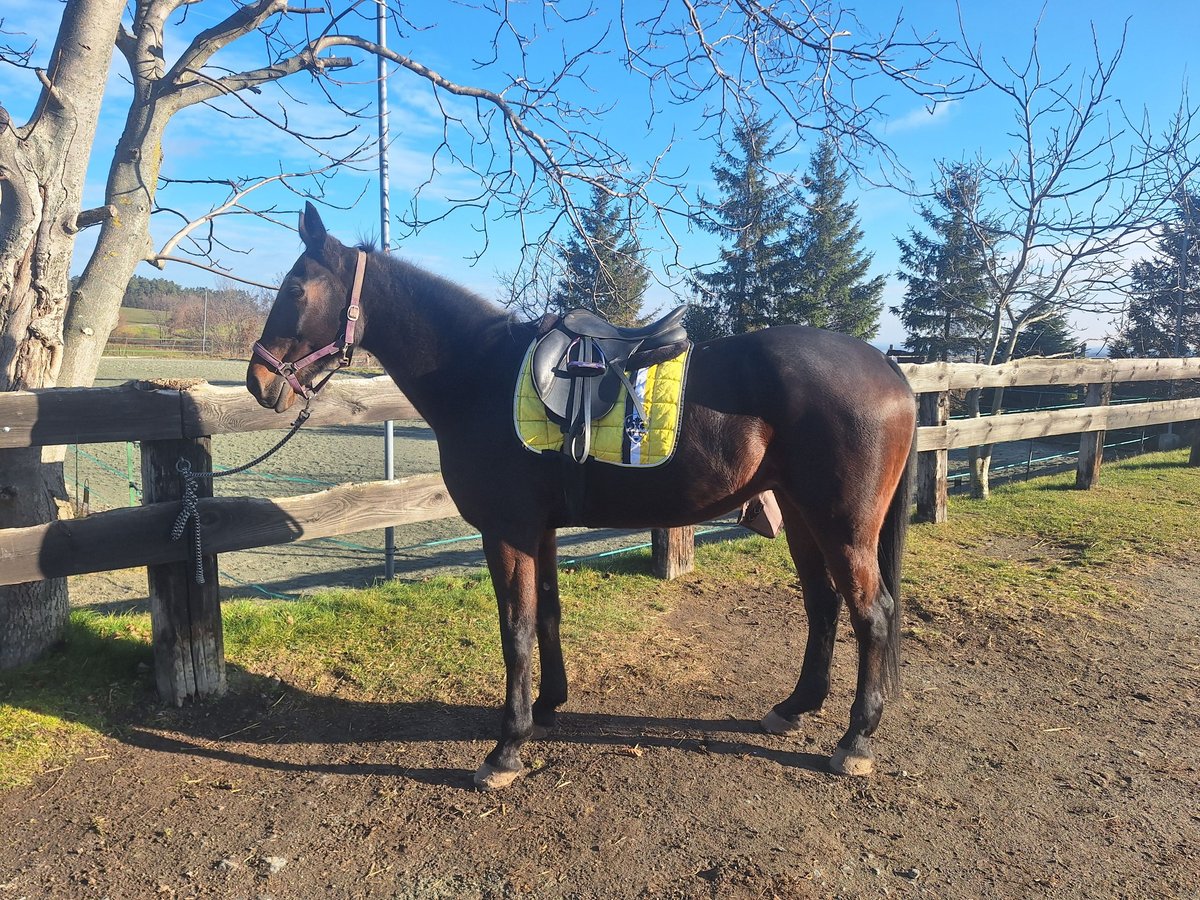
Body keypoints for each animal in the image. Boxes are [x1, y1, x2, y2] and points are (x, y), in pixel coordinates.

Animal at [246, 204, 916, 787]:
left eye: (296, 290)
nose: (258, 382)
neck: (478, 375)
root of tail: (889, 368)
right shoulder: (537, 530)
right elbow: (546, 614)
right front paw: (547, 706)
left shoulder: (507, 530)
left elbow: (514, 629)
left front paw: (506, 748)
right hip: (804, 517)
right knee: (824, 605)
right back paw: (795, 706)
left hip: (844, 527)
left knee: (873, 613)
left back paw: (855, 740)